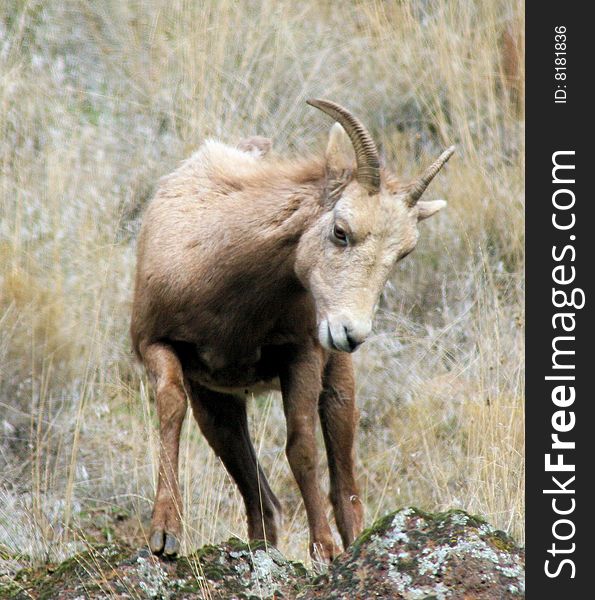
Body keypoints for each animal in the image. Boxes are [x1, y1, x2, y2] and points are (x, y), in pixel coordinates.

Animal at [130, 98, 454, 564]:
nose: (351, 333)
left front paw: (324, 550)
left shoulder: (300, 355)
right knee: (262, 503)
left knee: (344, 490)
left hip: (335, 384)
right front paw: (165, 535)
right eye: (340, 231)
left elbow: (301, 445)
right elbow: (171, 410)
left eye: (403, 253)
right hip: (220, 409)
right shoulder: (158, 346)